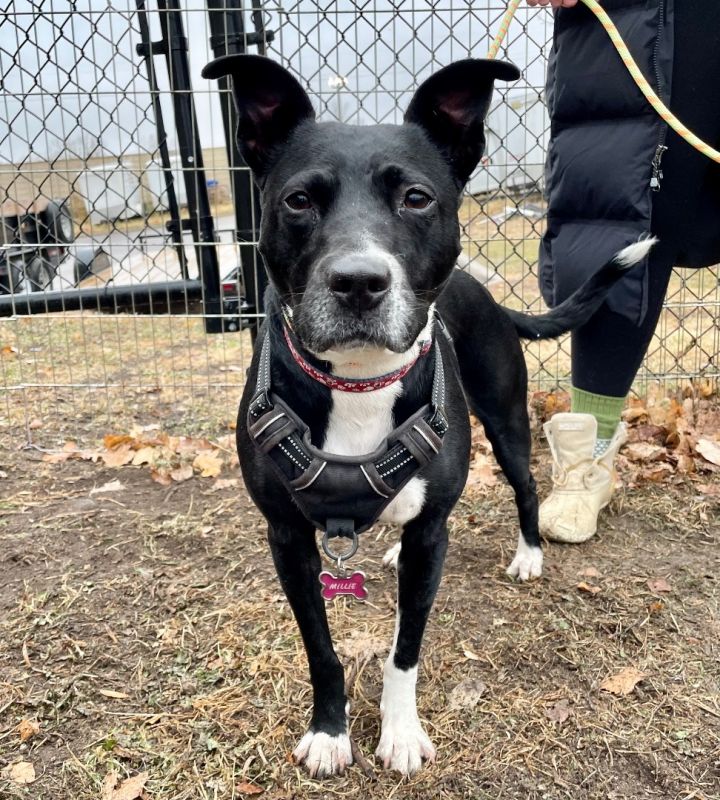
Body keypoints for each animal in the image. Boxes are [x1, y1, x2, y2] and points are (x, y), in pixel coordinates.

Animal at [202, 54, 652, 776]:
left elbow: (404, 649)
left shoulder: (431, 536)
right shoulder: (287, 538)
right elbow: (321, 648)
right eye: (298, 200)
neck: (359, 382)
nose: (359, 282)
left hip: (505, 419)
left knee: (525, 484)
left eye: (415, 198)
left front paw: (401, 731)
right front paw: (330, 732)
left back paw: (529, 554)